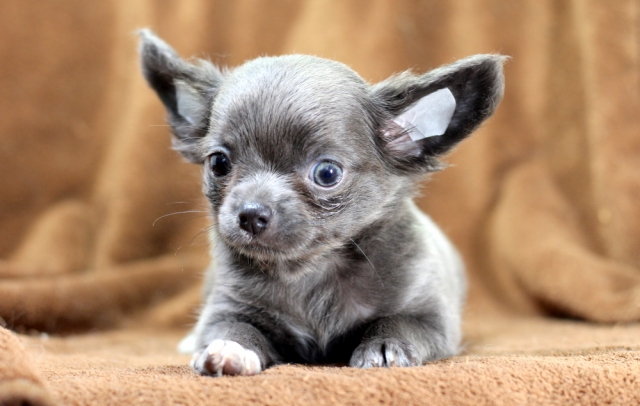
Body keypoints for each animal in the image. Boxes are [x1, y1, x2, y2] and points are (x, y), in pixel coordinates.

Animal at [138, 29, 505, 376]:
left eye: (327, 173)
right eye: (219, 163)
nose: (251, 214)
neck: (310, 269)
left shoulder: (429, 316)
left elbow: (399, 323)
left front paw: (386, 347)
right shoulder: (228, 309)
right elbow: (233, 329)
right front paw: (230, 350)